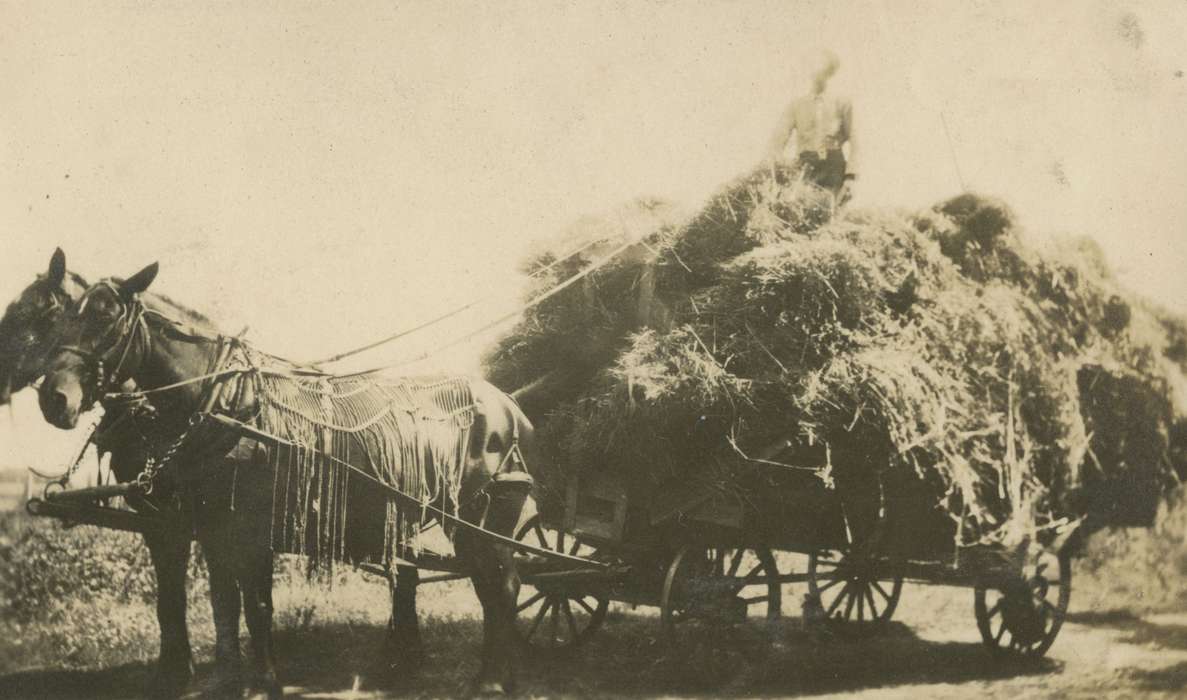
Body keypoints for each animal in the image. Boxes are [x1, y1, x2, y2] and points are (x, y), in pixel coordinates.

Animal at [0, 249, 197, 697]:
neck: (151, 410)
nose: (55, 401)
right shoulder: (152, 515)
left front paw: (182, 670)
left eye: (33, 312)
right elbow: (168, 596)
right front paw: (174, 668)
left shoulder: (177, 516)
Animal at [39, 262, 534, 697]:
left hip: (485, 515)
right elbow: (216, 603)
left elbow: (257, 607)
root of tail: (508, 405)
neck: (226, 404)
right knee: (488, 585)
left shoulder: (250, 528)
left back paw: (491, 680)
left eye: (107, 317)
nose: (53, 399)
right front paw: (218, 682)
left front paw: (262, 683)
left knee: (501, 586)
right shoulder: (205, 526)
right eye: (61, 318)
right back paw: (497, 674)